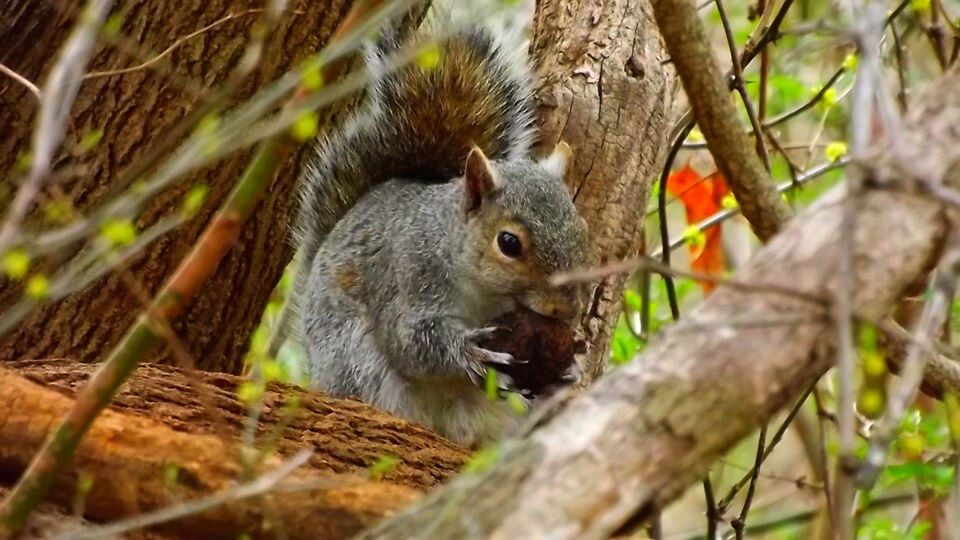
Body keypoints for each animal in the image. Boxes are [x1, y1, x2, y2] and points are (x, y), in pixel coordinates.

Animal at [292, 21, 587, 447]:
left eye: (582, 232)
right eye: (509, 243)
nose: (565, 310)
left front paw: (570, 367)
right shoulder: (409, 276)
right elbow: (411, 341)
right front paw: (470, 352)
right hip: (355, 360)